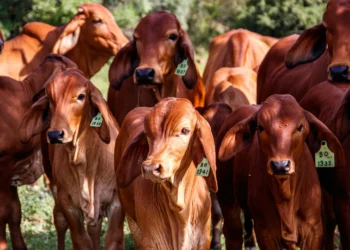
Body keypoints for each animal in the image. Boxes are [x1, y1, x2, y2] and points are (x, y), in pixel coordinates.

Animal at [19, 69, 124, 250]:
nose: (55, 134)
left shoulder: (116, 203)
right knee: (59, 221)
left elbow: (113, 239)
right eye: (49, 97)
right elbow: (81, 241)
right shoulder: (68, 205)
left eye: (81, 96)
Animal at [219, 94, 344, 249]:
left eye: (300, 127)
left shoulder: (314, 231)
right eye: (260, 127)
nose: (280, 165)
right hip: (227, 200)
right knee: (233, 232)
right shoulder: (265, 234)